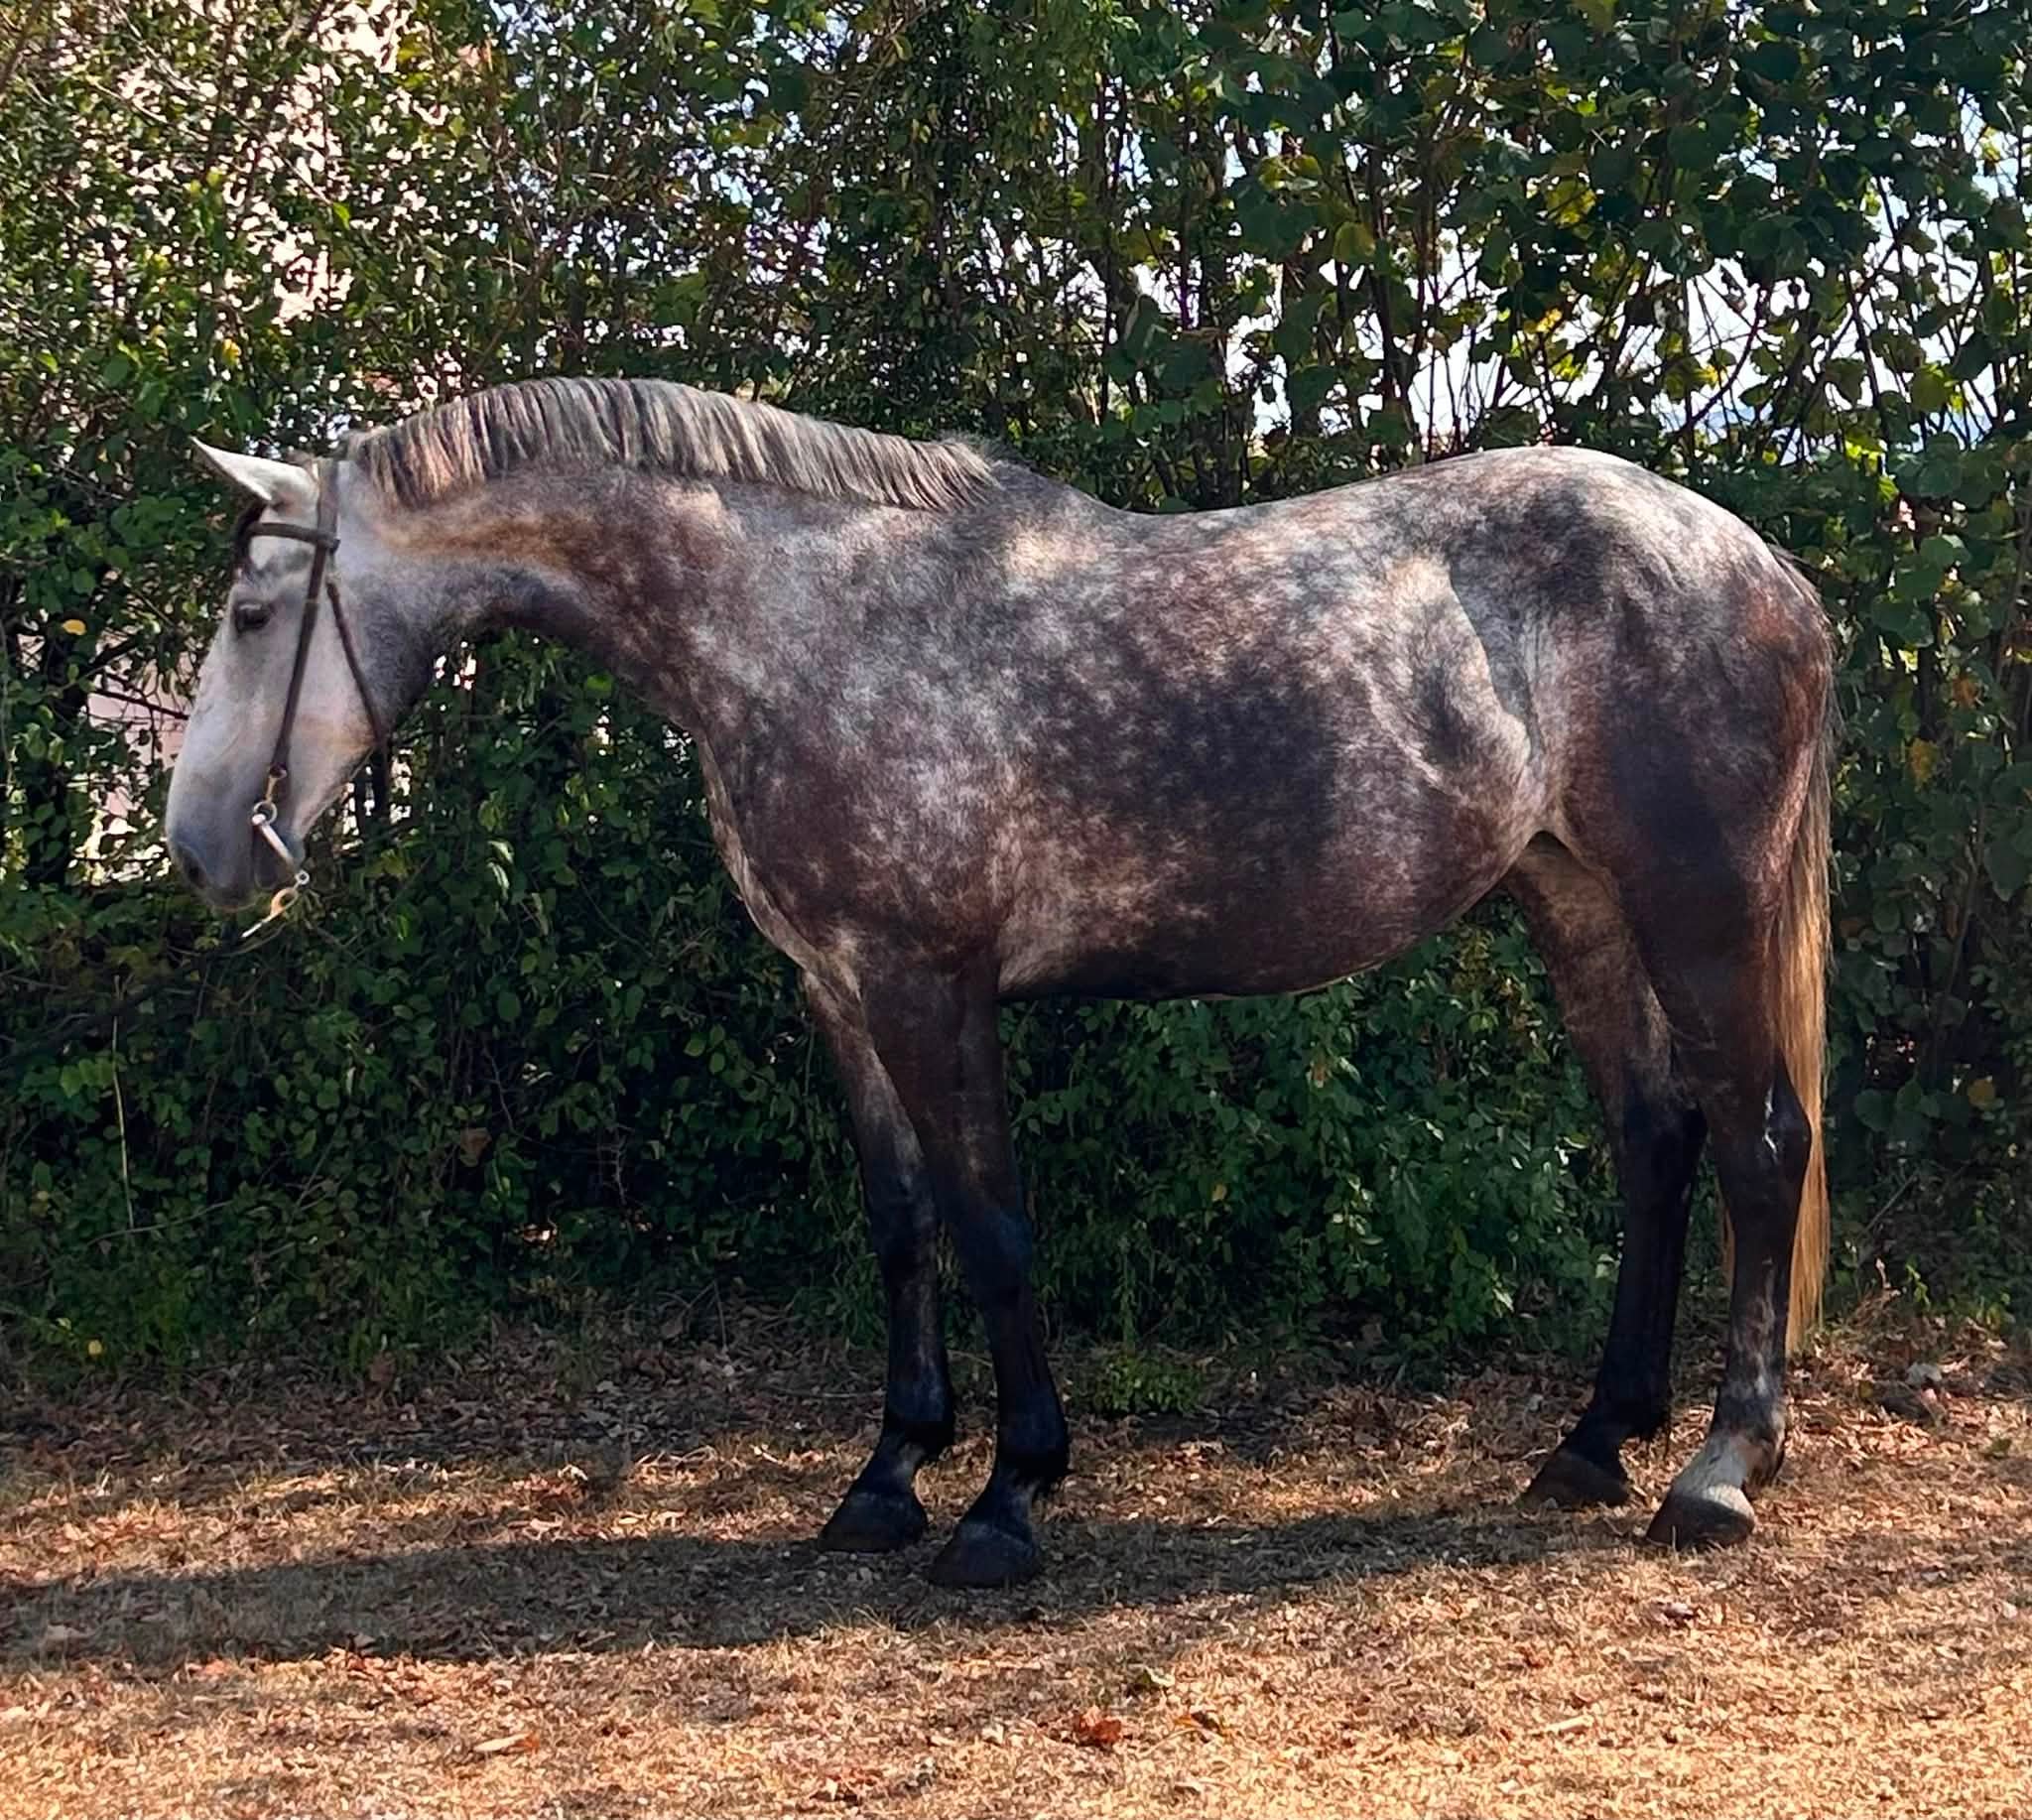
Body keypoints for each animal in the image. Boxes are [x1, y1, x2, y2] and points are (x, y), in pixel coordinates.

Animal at [166, 376, 1833, 1587]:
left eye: (253, 614)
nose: (199, 845)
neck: (813, 627)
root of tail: (1763, 568)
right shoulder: (838, 991)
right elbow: (902, 1225)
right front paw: (888, 1474)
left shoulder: (930, 986)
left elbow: (993, 1227)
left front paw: (1008, 1496)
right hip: (1577, 901)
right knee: (1654, 1141)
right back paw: (1594, 1440)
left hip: (1699, 914)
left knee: (1762, 1147)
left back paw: (1719, 1469)